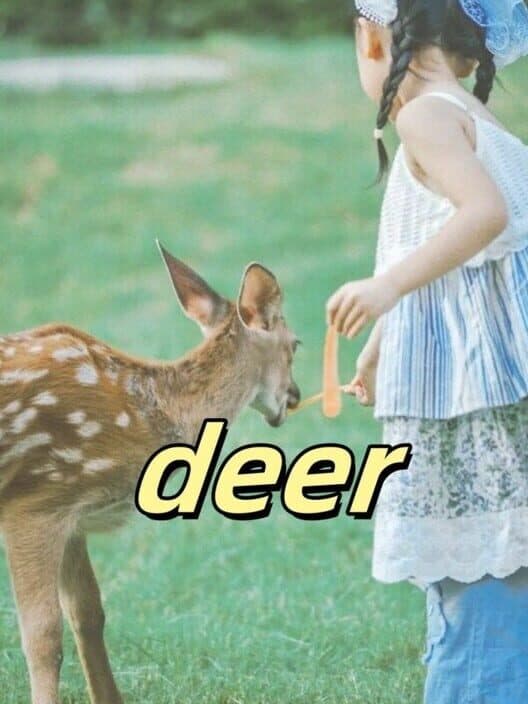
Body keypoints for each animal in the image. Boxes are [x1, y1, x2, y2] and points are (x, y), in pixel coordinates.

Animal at [0, 242, 301, 704]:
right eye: (296, 345)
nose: (297, 396)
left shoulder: (72, 515)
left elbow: (88, 612)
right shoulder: (35, 499)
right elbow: (43, 636)